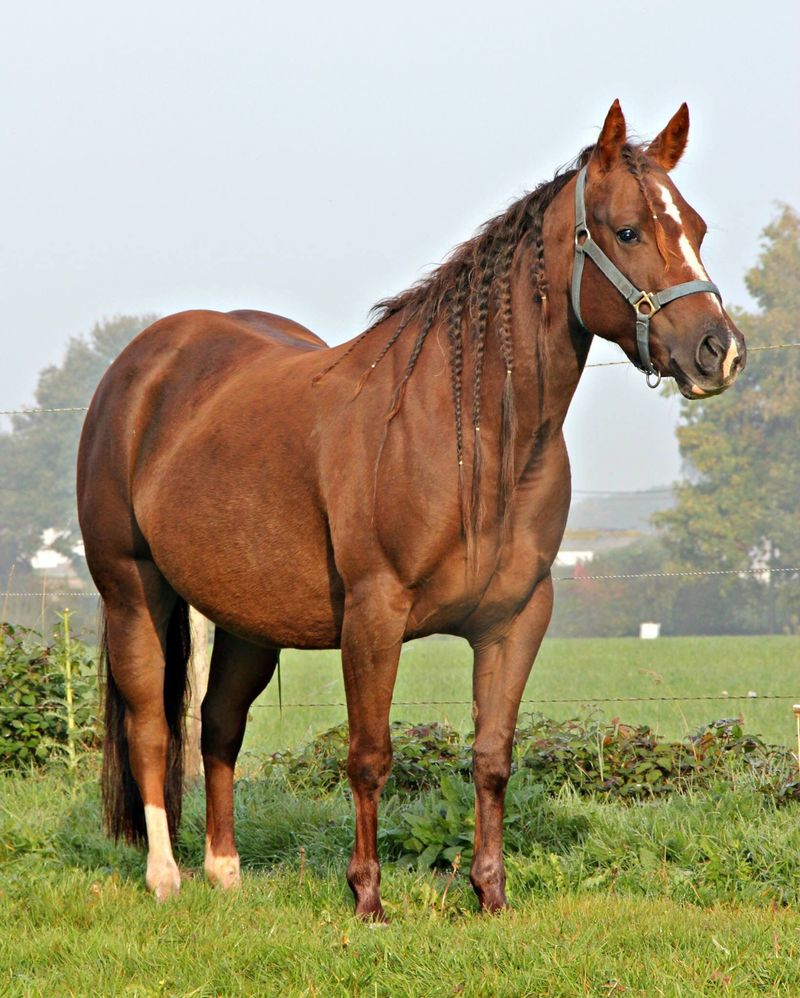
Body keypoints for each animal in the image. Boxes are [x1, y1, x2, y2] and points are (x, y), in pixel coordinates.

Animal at [78, 103, 748, 920]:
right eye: (627, 231)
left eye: (697, 227)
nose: (718, 350)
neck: (472, 437)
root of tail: (142, 365)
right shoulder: (375, 613)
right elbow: (369, 757)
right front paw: (367, 899)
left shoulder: (516, 618)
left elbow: (492, 757)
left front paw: (490, 894)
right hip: (132, 591)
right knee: (151, 728)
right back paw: (165, 878)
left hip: (247, 621)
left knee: (217, 728)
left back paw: (226, 874)